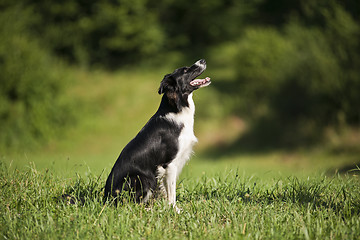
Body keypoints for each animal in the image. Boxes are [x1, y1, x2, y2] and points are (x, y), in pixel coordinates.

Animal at [103, 59, 211, 211]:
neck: (177, 110)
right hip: (142, 179)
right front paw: (174, 210)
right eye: (185, 70)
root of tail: (106, 199)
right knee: (132, 206)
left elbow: (166, 191)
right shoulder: (170, 164)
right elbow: (172, 193)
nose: (203, 60)